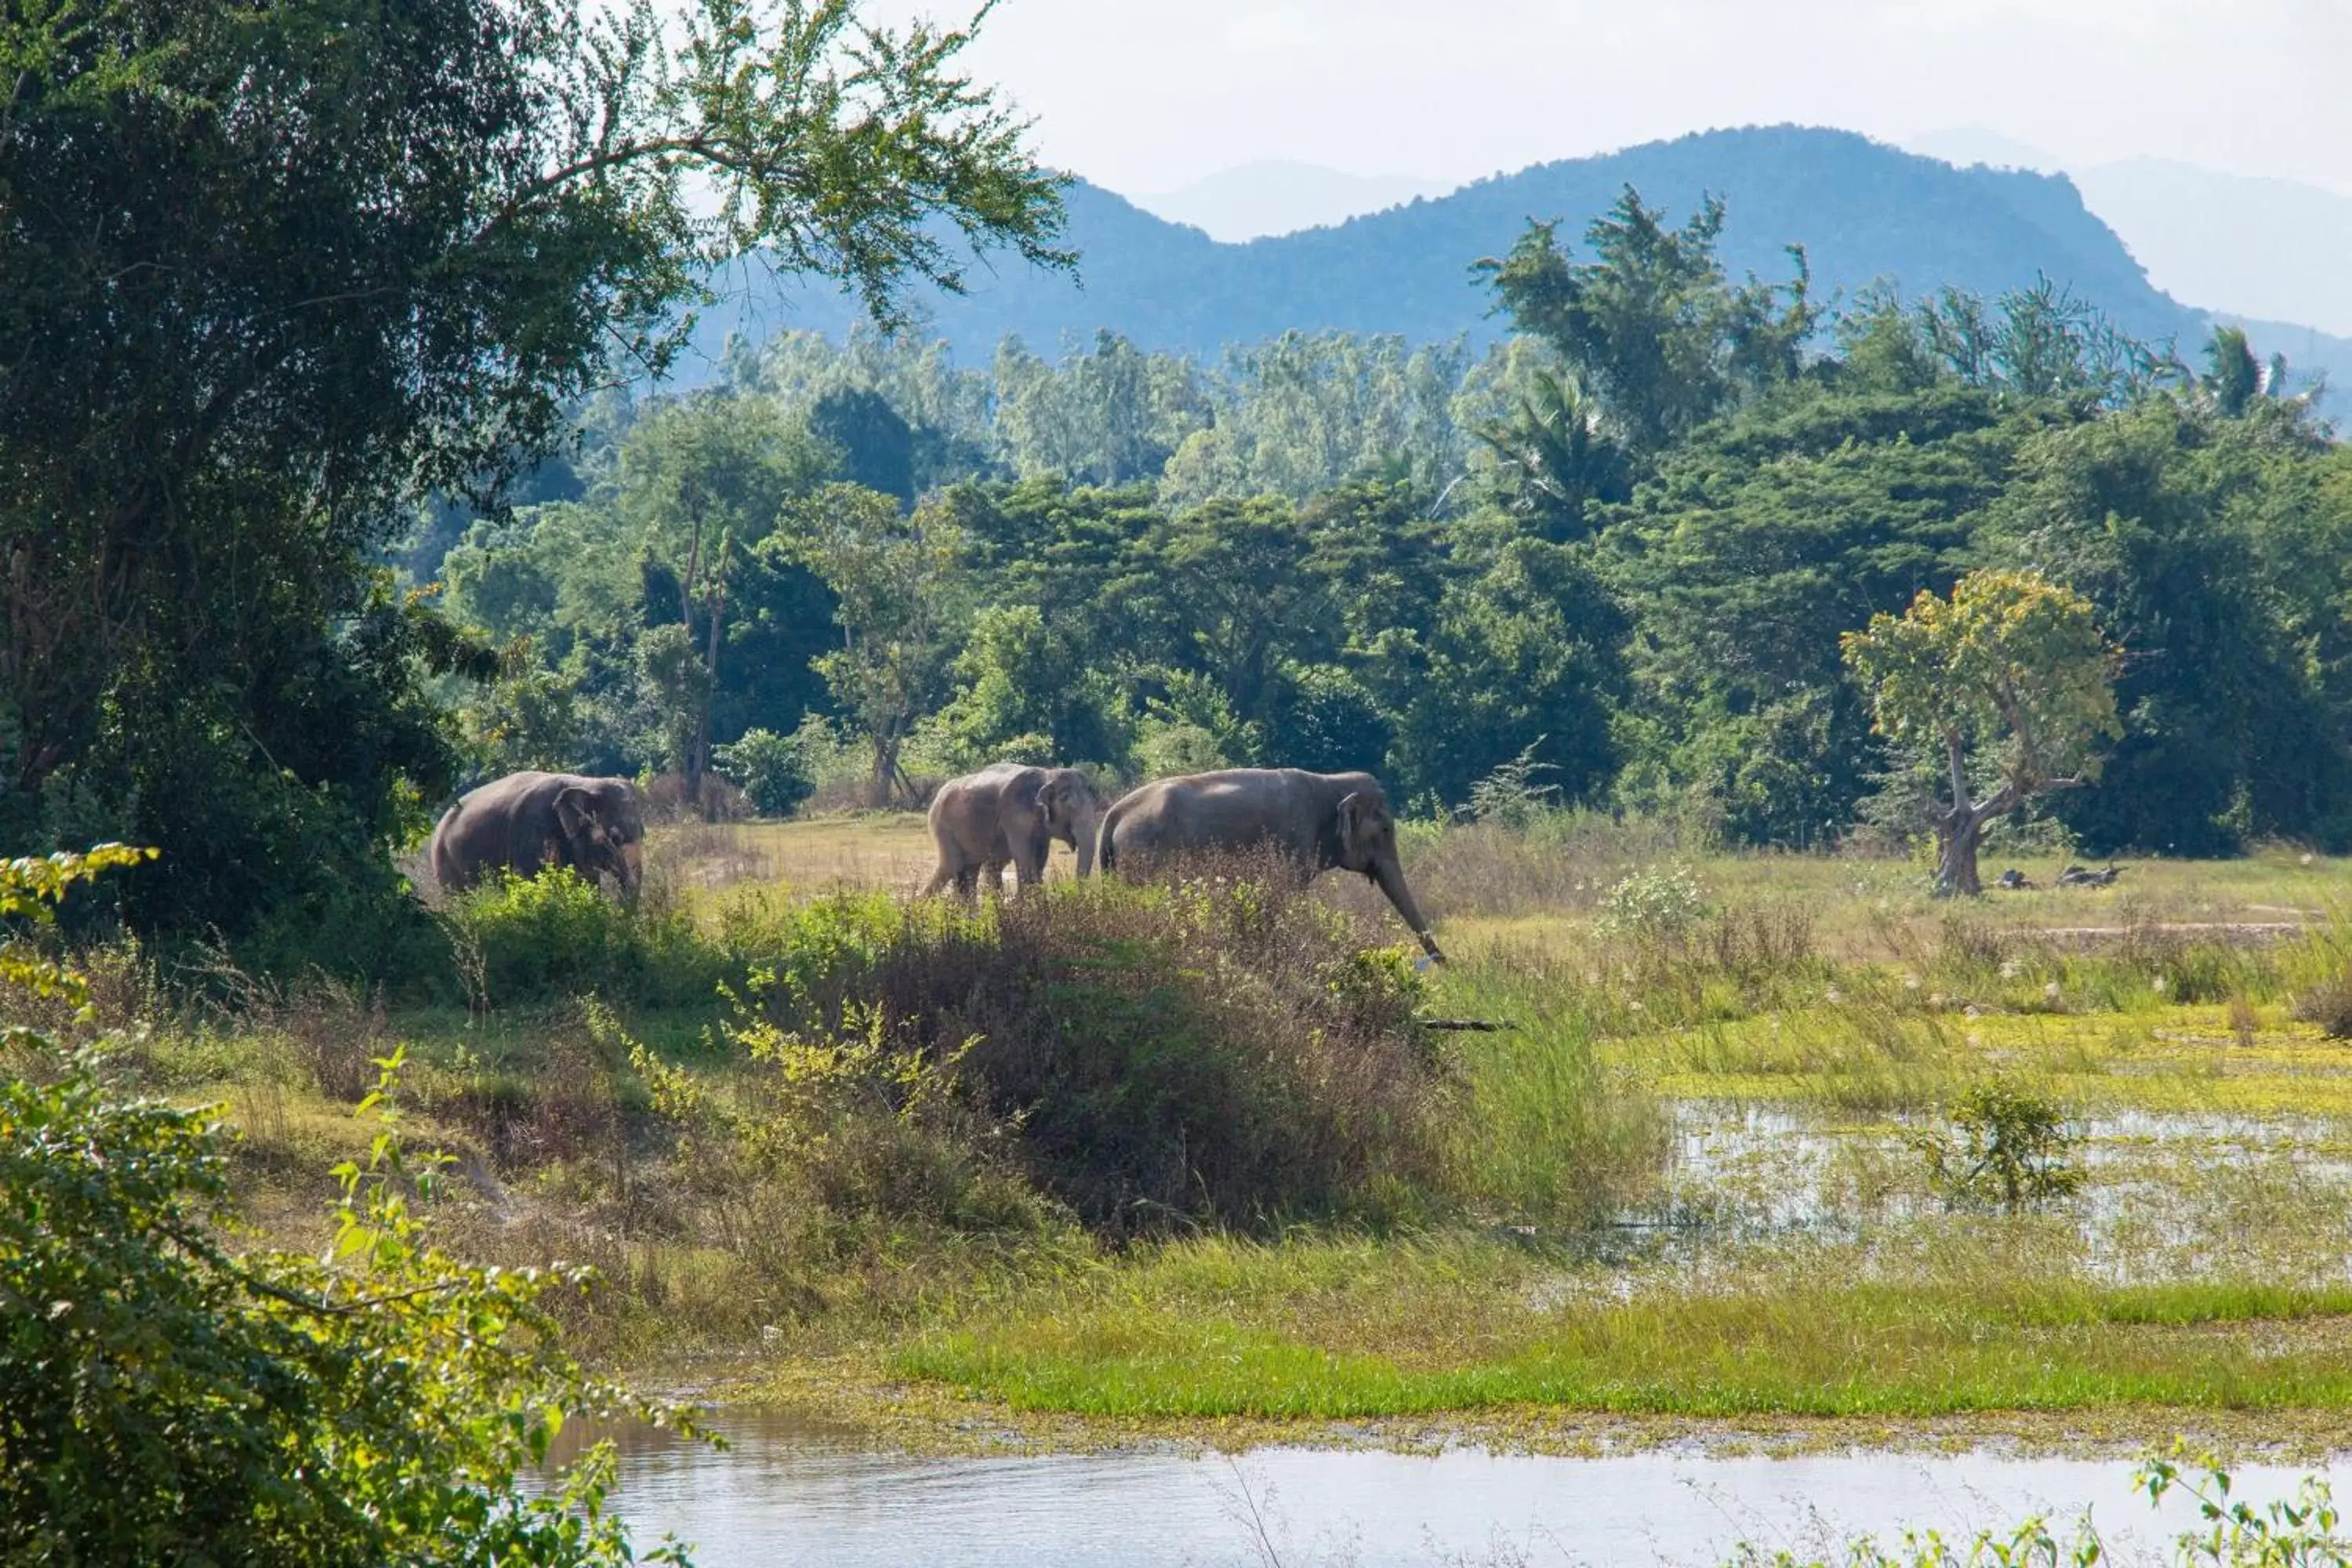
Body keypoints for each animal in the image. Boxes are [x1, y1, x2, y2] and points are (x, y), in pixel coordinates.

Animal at [428, 771, 649, 893]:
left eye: (643, 832)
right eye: (615, 838)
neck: (586, 782)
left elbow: (587, 881)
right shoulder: (532, 832)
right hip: (443, 861)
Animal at [917, 766, 1101, 902]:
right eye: (1066, 802)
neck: (1048, 774)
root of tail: (937, 796)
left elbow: (1040, 859)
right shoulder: (1015, 816)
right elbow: (1025, 858)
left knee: (971, 870)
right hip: (942, 827)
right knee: (951, 866)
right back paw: (920, 906)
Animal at [1105, 771, 1449, 964]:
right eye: (1387, 829)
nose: (1444, 962)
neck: (1331, 781)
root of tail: (1114, 813)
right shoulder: (1294, 840)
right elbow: (1288, 894)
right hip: (1147, 856)